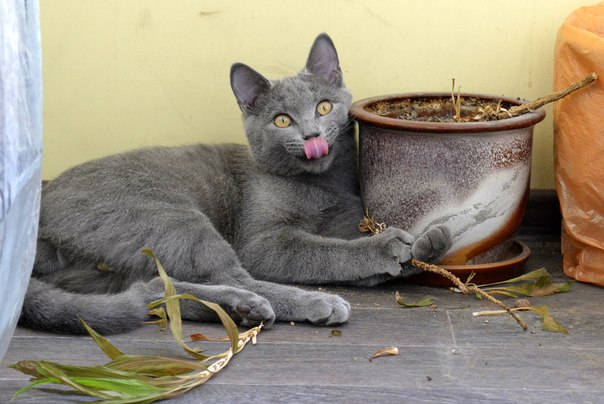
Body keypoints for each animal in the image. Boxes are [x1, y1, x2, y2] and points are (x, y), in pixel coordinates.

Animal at [18, 33, 450, 332]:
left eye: (324, 107)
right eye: (282, 120)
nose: (312, 135)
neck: (323, 185)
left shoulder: (348, 217)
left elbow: (354, 246)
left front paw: (426, 244)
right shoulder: (262, 241)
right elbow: (322, 251)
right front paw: (389, 245)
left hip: (100, 270)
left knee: (153, 286)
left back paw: (237, 309)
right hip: (168, 217)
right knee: (232, 275)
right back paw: (289, 304)